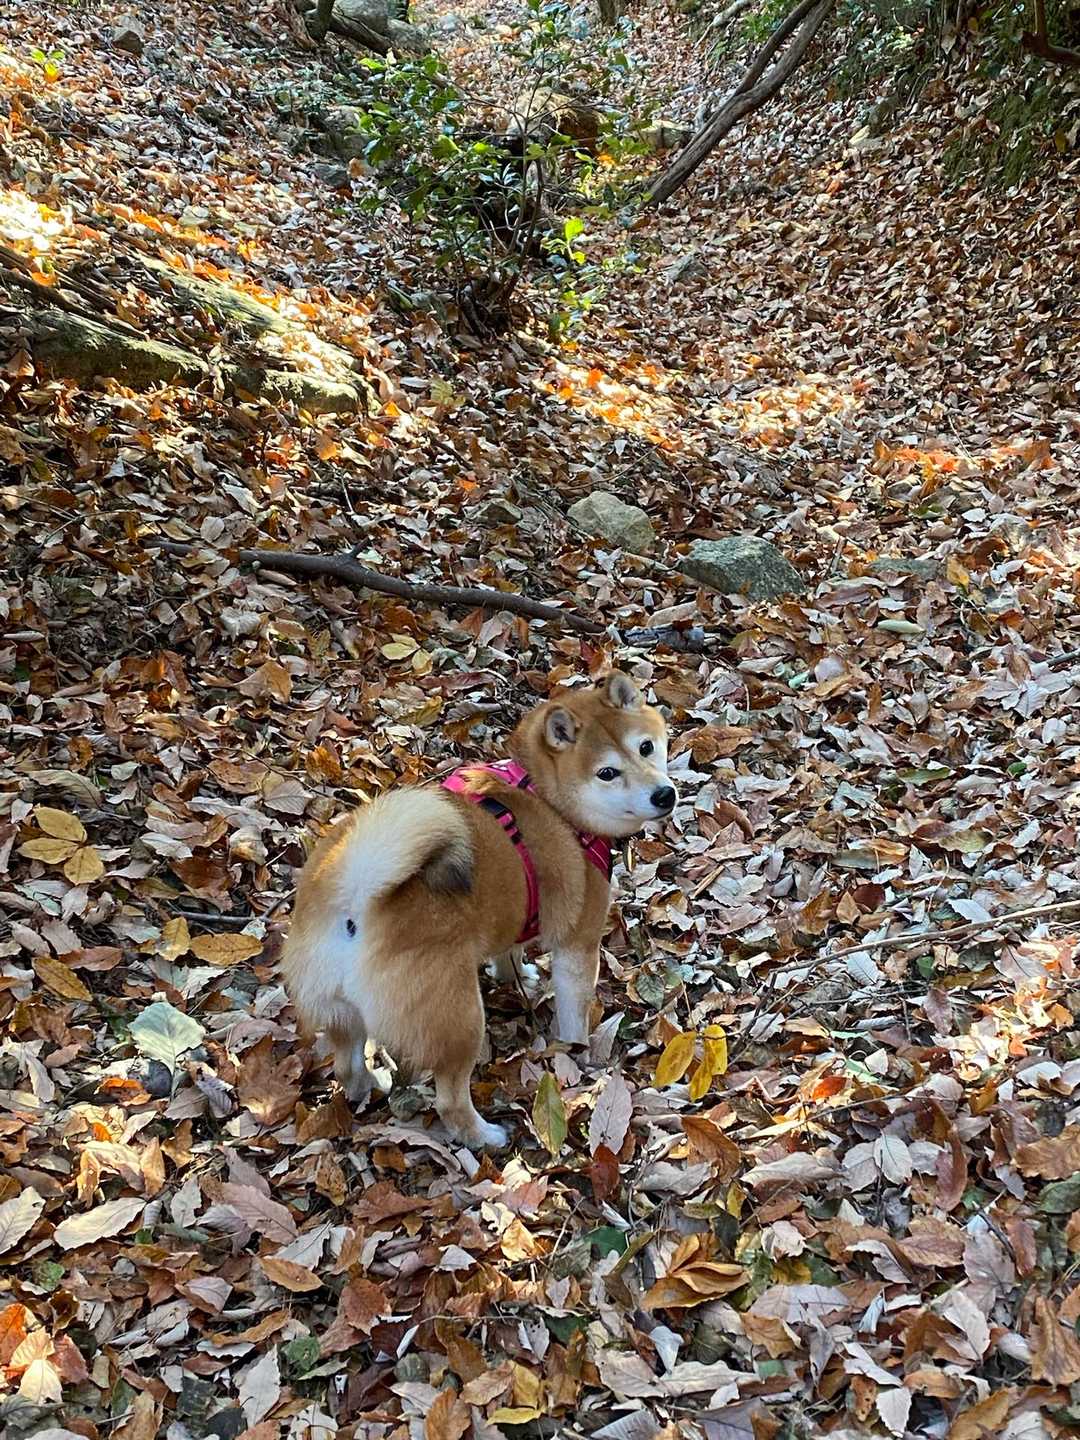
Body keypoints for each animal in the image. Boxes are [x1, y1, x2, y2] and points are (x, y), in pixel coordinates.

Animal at [280, 671, 676, 1148]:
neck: (548, 799)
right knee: (450, 1099)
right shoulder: (578, 943)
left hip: (342, 1011)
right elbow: (573, 1010)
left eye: (646, 747)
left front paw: (515, 973)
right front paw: (579, 1057)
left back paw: (369, 1086)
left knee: (348, 1063)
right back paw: (484, 1135)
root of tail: (355, 902)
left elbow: (508, 951)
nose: (664, 794)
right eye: (607, 773)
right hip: (460, 1021)